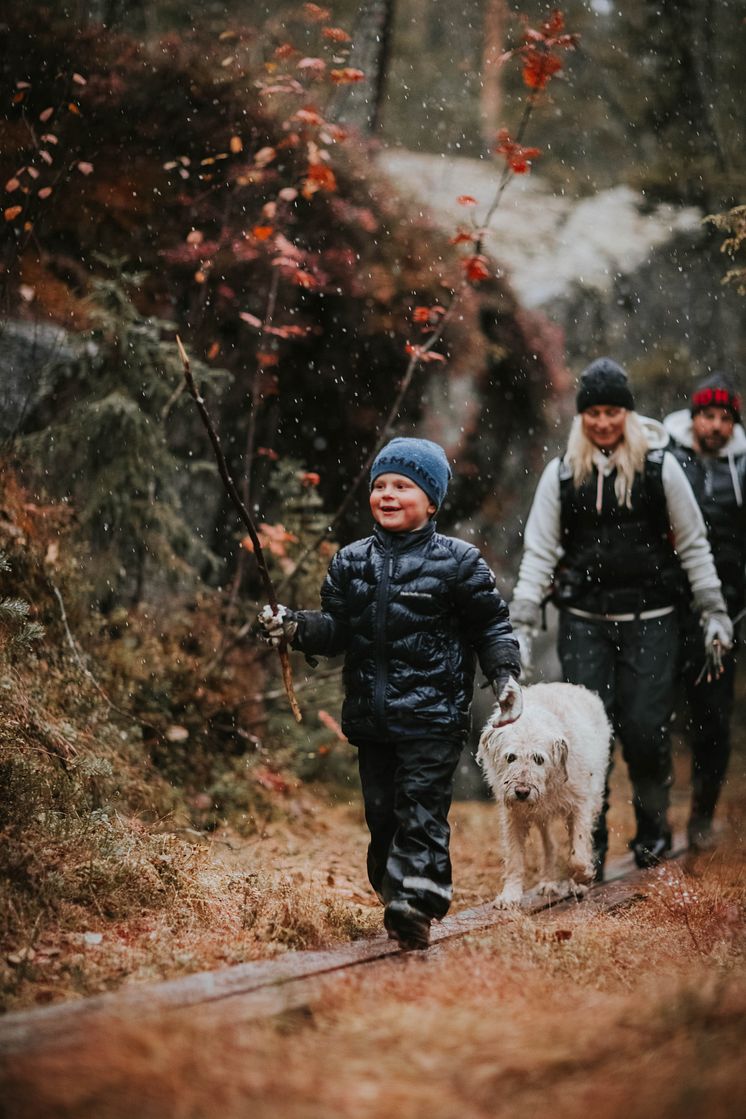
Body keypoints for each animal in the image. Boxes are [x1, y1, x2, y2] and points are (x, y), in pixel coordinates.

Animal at [478, 680, 612, 908]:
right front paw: (510, 895)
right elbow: (514, 858)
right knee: (550, 845)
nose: (522, 792)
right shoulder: (514, 814)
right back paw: (549, 881)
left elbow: (577, 852)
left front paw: (582, 877)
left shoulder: (580, 805)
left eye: (539, 759)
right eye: (510, 757)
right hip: (541, 815)